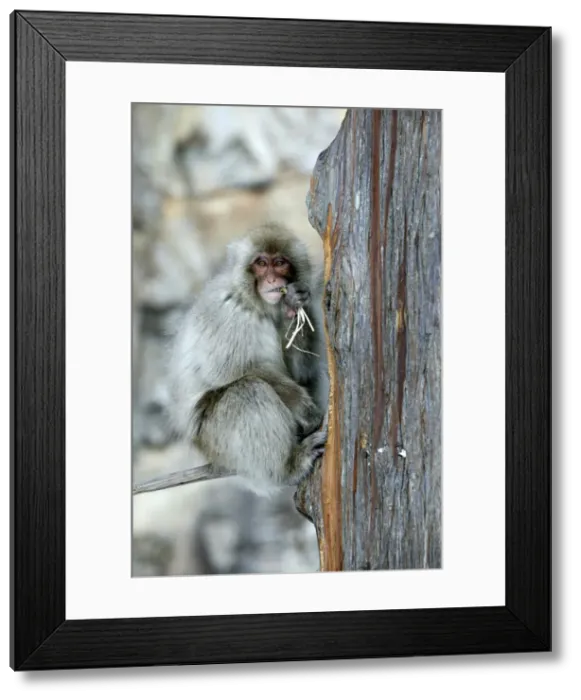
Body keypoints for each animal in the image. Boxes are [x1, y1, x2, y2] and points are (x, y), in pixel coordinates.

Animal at [166, 222, 329, 497]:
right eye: (261, 263)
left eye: (280, 262)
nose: (272, 279)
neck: (256, 305)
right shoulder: (227, 313)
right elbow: (233, 371)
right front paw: (305, 409)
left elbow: (300, 373)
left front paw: (291, 305)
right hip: (215, 439)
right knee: (247, 392)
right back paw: (289, 467)